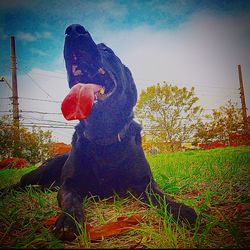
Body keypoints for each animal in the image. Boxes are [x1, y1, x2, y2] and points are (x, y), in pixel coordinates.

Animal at [1, 24, 197, 240]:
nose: (73, 29)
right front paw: (68, 219)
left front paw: (179, 209)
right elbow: (70, 199)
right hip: (38, 173)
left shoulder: (145, 183)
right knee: (19, 184)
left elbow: (161, 197)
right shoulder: (68, 185)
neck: (103, 134)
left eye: (107, 51)